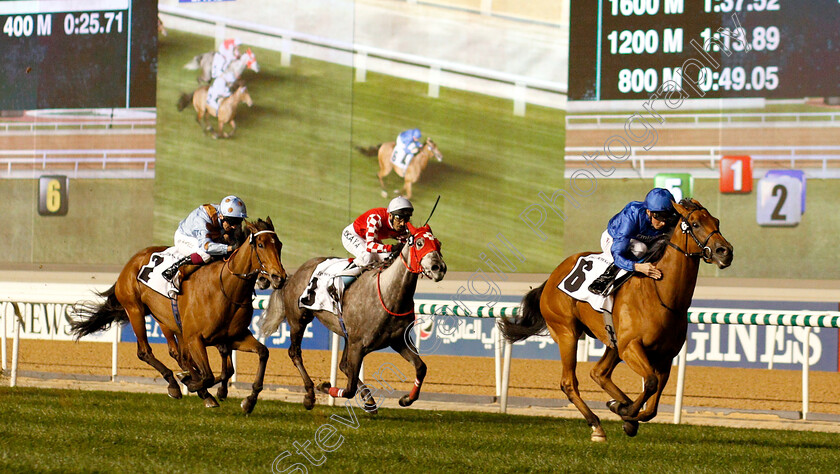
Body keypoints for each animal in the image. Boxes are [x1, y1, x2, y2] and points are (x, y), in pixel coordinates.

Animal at [69, 217, 286, 412]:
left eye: (280, 245)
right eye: (260, 244)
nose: (279, 277)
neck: (226, 288)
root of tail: (133, 260)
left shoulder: (234, 336)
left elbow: (260, 354)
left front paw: (248, 400)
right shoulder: (196, 338)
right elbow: (208, 375)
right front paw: (197, 385)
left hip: (165, 319)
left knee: (178, 353)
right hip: (135, 309)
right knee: (145, 352)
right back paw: (177, 384)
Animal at [260, 222, 446, 412]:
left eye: (438, 244)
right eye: (419, 243)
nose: (439, 268)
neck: (389, 294)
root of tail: (292, 275)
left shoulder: (398, 340)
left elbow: (421, 367)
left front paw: (407, 399)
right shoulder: (358, 345)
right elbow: (349, 389)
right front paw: (324, 386)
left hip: (345, 333)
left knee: (343, 365)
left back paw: (368, 400)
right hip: (299, 320)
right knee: (295, 352)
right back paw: (310, 394)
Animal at [502, 199, 732, 440]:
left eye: (716, 221)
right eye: (695, 224)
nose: (725, 251)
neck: (661, 294)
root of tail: (552, 276)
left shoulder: (665, 356)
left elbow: (652, 407)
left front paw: (625, 412)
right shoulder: (631, 346)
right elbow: (650, 384)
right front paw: (627, 413)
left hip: (612, 342)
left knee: (599, 373)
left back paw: (618, 406)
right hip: (567, 333)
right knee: (569, 382)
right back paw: (596, 425)